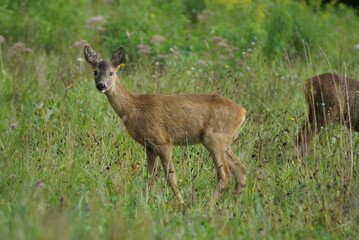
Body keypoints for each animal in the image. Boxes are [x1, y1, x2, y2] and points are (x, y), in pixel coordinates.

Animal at [84, 45, 248, 204]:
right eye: (95, 71)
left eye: (111, 73)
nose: (101, 86)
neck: (134, 108)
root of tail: (243, 111)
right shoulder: (149, 146)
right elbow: (150, 177)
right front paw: (148, 202)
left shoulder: (163, 141)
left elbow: (170, 177)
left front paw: (181, 204)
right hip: (224, 141)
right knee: (240, 169)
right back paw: (234, 203)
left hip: (214, 138)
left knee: (225, 174)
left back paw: (208, 205)